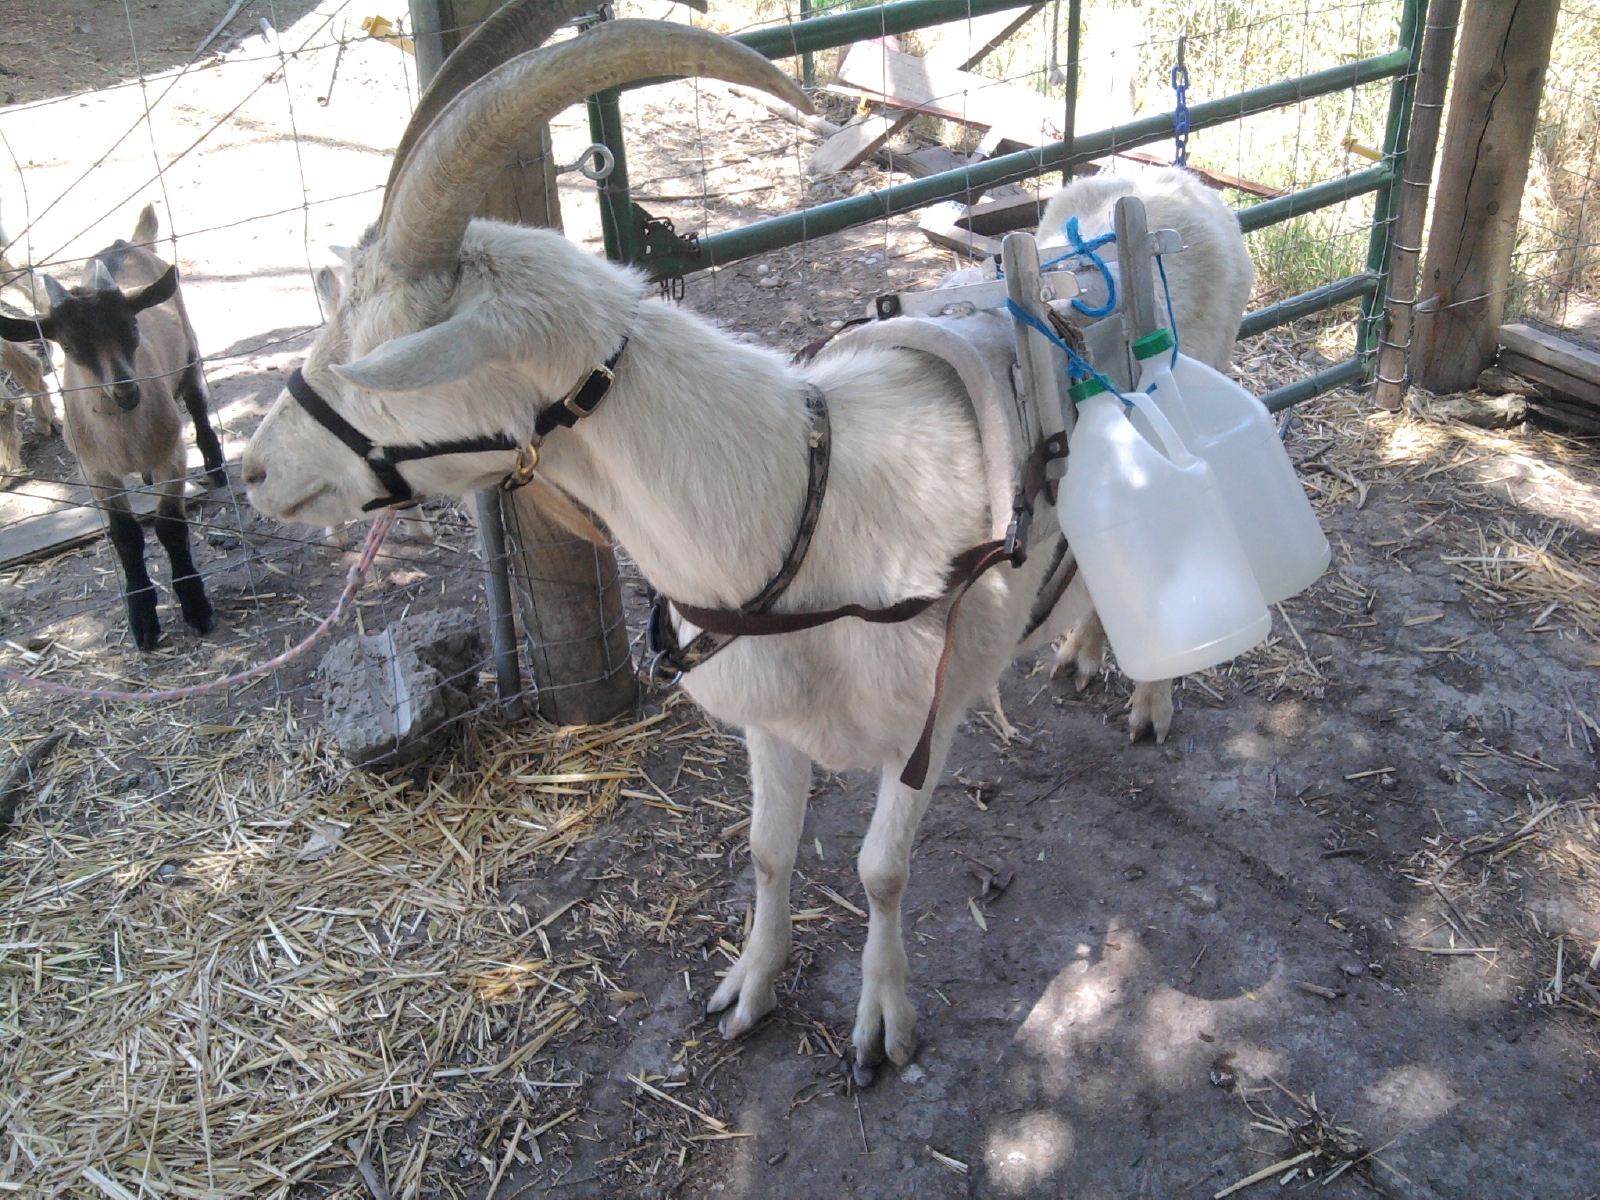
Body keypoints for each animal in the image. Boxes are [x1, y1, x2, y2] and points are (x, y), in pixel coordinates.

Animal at [0, 205, 226, 650]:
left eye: (132, 328)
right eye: (70, 346)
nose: (126, 392)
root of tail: (128, 243)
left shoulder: (171, 456)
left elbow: (170, 527)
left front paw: (195, 606)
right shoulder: (96, 472)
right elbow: (125, 536)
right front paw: (142, 620)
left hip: (188, 351)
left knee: (195, 400)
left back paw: (215, 464)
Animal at [241, 21, 1110, 1082]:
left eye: (377, 362)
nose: (253, 470)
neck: (801, 503)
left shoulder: (925, 722)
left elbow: (881, 871)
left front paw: (882, 1026)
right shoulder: (771, 719)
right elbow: (770, 852)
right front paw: (747, 990)